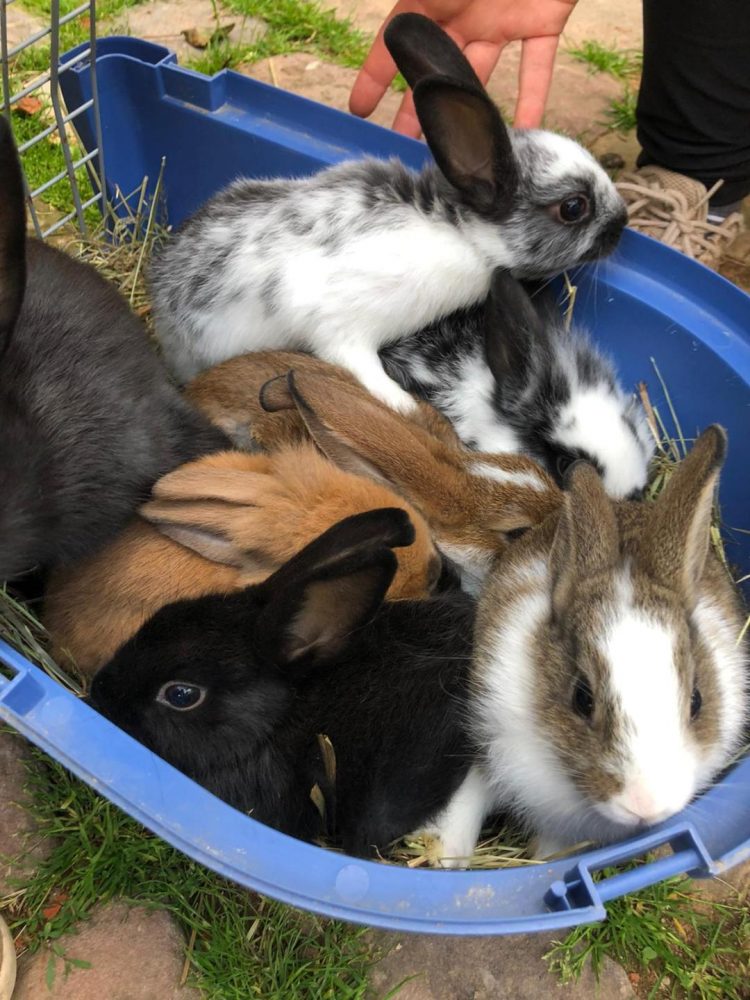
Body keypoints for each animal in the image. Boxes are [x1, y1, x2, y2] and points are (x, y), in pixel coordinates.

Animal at [148, 13, 628, 412]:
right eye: (573, 207)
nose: (623, 225)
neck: (461, 232)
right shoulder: (341, 324)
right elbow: (358, 364)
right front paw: (404, 405)